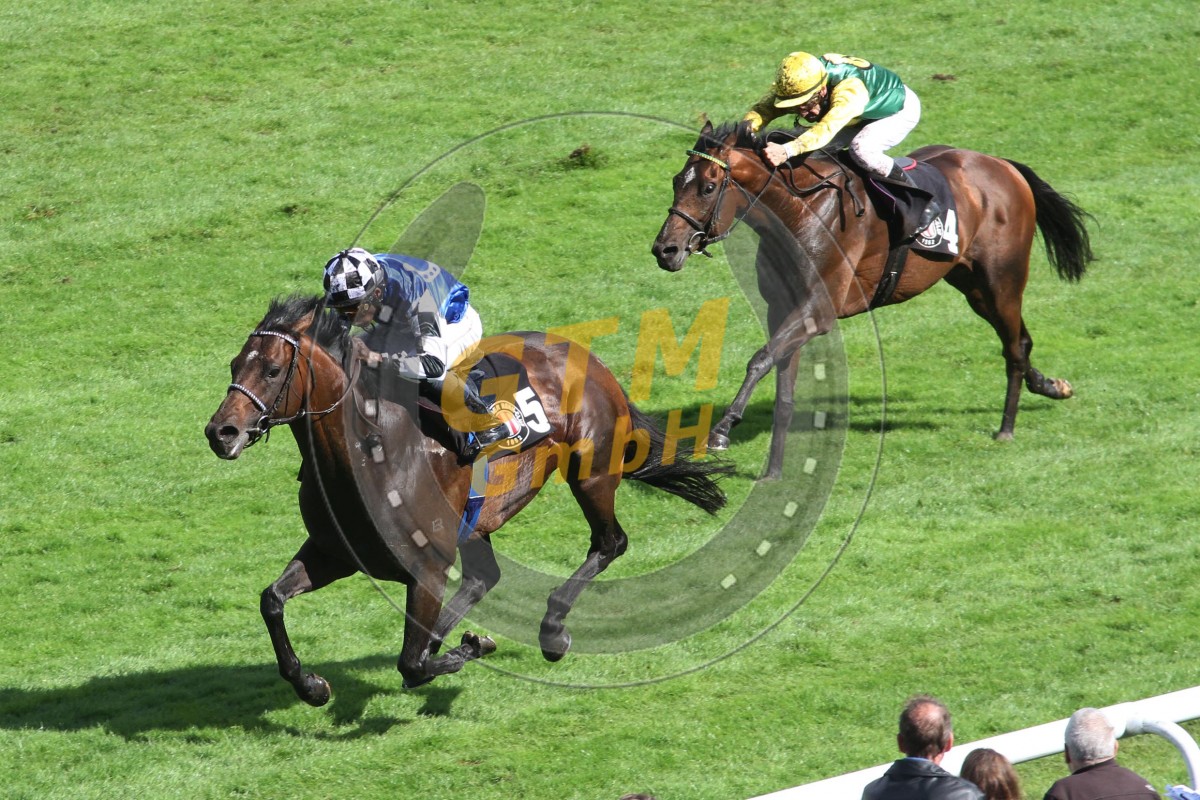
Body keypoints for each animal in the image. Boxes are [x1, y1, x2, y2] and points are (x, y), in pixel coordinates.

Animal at [204, 295, 730, 703]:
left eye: (273, 370)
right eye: (234, 365)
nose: (220, 433)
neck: (369, 454)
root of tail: (587, 356)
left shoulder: (427, 570)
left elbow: (411, 664)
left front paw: (473, 646)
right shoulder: (333, 552)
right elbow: (271, 600)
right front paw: (311, 685)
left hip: (592, 472)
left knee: (609, 543)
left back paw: (552, 630)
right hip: (478, 522)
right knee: (486, 576)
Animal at [651, 121, 1095, 479]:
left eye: (708, 187)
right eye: (675, 181)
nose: (664, 250)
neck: (800, 212)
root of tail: (1002, 165)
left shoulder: (817, 311)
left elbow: (759, 359)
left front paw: (721, 431)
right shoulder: (784, 311)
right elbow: (782, 387)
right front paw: (774, 471)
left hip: (1001, 279)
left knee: (1014, 345)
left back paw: (1006, 428)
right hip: (971, 285)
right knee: (1020, 340)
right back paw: (1051, 386)